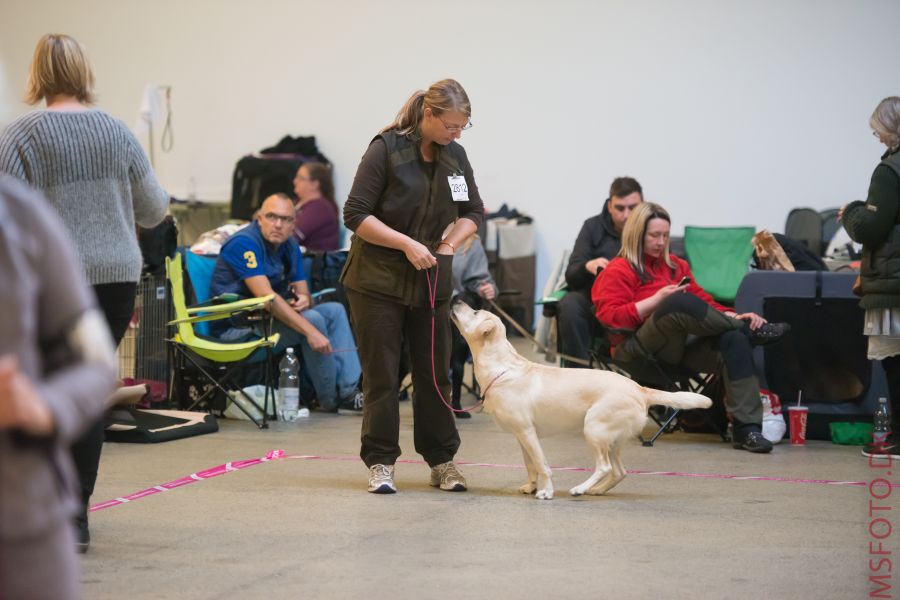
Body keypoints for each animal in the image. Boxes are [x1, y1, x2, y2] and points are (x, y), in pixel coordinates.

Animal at [450, 302, 712, 500]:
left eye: (475, 312)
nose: (456, 300)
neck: (501, 368)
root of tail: (639, 388)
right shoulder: (521, 435)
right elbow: (530, 464)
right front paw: (531, 486)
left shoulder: (526, 432)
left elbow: (542, 464)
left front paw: (545, 491)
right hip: (611, 440)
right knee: (620, 471)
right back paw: (595, 490)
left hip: (594, 428)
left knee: (604, 467)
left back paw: (579, 489)